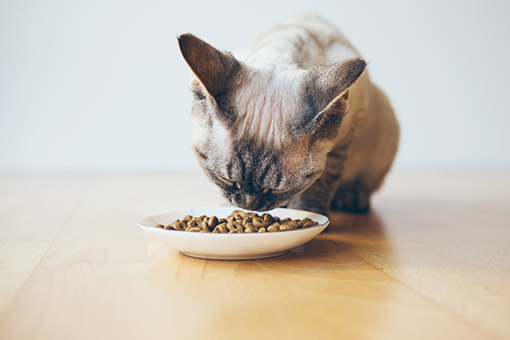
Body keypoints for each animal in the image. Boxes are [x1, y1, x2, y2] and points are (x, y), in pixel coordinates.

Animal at [178, 13, 398, 215]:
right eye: (228, 180)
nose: (249, 206)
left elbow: (323, 183)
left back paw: (351, 199)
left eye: (276, 190)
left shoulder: (345, 138)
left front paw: (310, 212)